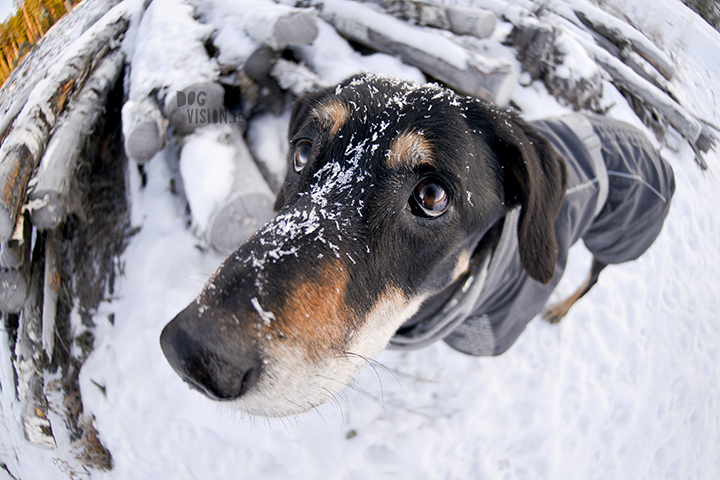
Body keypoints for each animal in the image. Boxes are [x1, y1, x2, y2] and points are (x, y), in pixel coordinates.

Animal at [159, 74, 676, 416]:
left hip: (620, 237)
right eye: (303, 151)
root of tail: (652, 143)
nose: (194, 352)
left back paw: (561, 308)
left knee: (593, 278)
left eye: (431, 197)